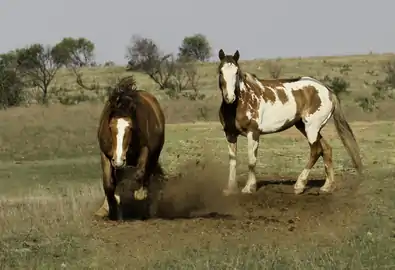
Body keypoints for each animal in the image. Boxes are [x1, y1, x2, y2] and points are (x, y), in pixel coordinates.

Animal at [94, 75, 166, 219]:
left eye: (131, 128)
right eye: (110, 127)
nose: (119, 160)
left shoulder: (145, 149)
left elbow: (139, 173)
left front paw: (140, 194)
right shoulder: (106, 154)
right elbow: (108, 183)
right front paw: (110, 210)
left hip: (155, 153)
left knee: (148, 172)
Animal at [218, 49, 364, 196]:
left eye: (237, 72)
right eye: (220, 71)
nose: (230, 97)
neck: (242, 101)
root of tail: (329, 92)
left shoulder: (253, 133)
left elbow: (252, 161)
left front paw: (249, 187)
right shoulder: (230, 135)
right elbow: (232, 160)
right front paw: (230, 189)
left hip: (311, 128)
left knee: (316, 151)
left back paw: (299, 186)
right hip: (306, 127)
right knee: (326, 149)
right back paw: (327, 187)